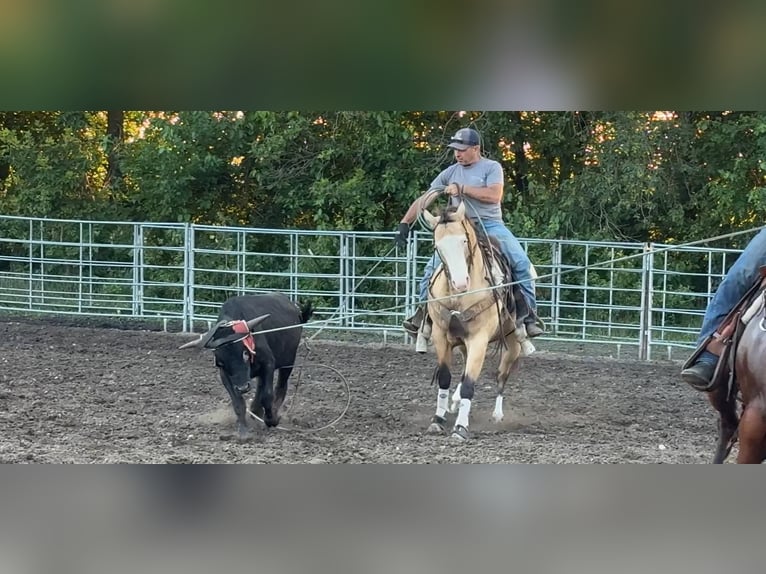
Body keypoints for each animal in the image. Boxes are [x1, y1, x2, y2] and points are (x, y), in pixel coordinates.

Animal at [420, 205, 536, 444]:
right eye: (438, 246)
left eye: (464, 240)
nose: (460, 283)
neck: (458, 297)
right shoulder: (440, 335)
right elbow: (445, 378)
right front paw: (438, 419)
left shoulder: (479, 339)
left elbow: (469, 385)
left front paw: (460, 428)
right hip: (464, 345)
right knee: (465, 371)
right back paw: (454, 402)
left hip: (512, 344)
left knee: (501, 376)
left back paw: (497, 414)